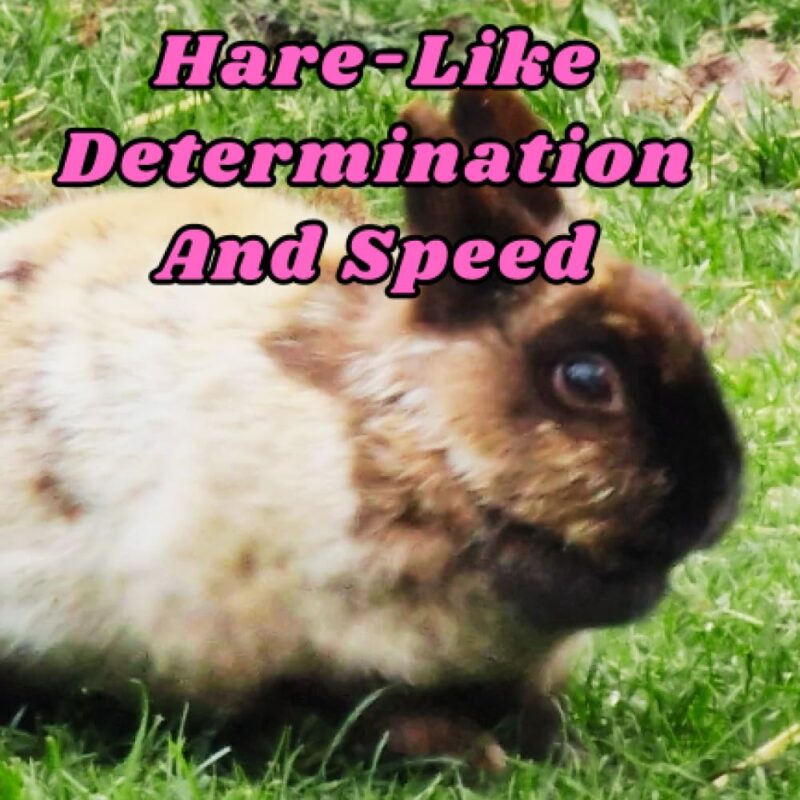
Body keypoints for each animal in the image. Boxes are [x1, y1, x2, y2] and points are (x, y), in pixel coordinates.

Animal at [0, 89, 741, 769]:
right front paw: (481, 760)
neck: (412, 447)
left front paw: (566, 756)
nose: (715, 506)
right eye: (586, 379)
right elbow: (371, 716)